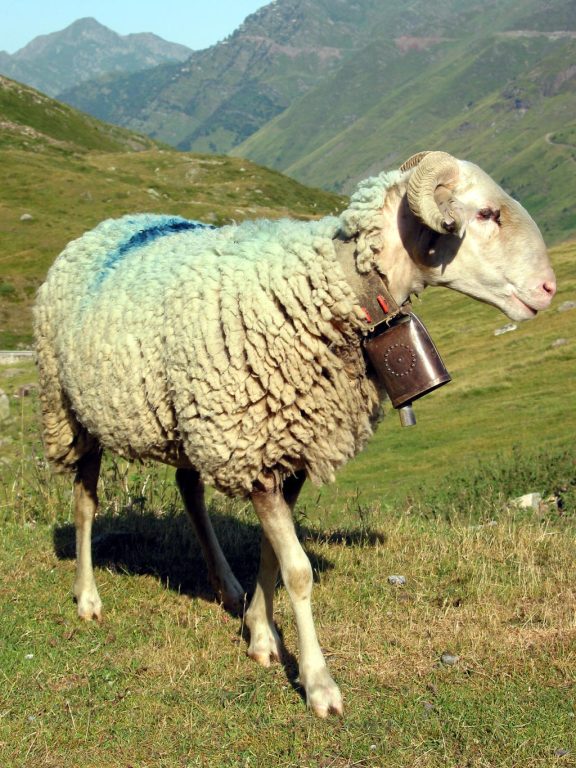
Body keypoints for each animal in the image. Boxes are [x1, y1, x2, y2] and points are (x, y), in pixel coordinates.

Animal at [34, 151, 556, 718]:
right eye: (485, 214)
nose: (549, 288)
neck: (324, 289)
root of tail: (103, 227)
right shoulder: (256, 449)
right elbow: (299, 571)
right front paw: (318, 683)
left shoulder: (290, 450)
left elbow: (272, 555)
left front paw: (261, 634)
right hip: (71, 410)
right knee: (85, 503)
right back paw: (88, 597)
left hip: (183, 420)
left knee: (189, 491)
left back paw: (226, 586)